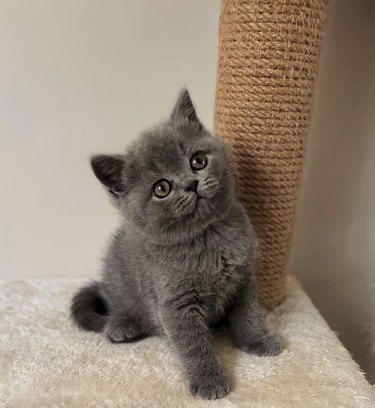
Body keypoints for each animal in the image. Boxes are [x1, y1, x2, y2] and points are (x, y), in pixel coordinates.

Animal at [71, 89, 282, 398]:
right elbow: (193, 346)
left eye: (198, 161)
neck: (208, 238)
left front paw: (258, 341)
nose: (191, 184)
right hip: (117, 274)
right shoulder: (175, 305)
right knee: (117, 302)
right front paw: (209, 380)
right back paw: (122, 325)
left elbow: (249, 313)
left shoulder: (244, 279)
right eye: (162, 188)